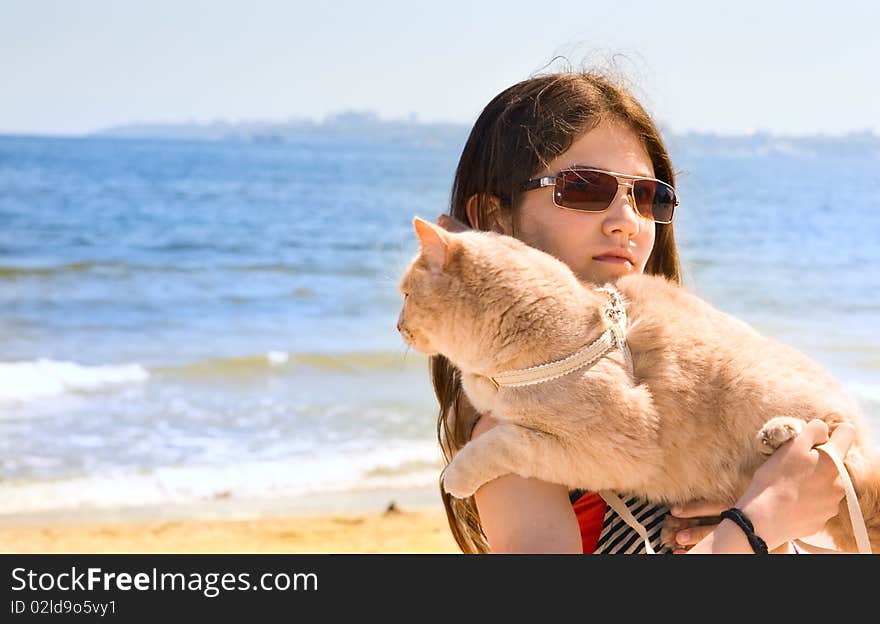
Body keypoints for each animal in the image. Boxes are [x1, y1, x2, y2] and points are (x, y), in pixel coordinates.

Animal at [398, 216, 880, 556]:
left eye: (404, 294)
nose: (397, 325)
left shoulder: (616, 451)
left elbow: (505, 442)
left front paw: (455, 474)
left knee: (840, 451)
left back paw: (782, 434)